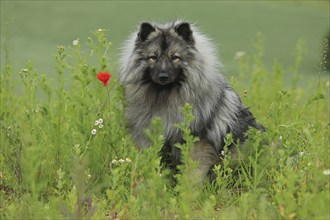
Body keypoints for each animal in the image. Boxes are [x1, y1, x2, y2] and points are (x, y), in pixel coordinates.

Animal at [118, 19, 266, 180]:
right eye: (153, 57)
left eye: (175, 57)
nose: (163, 76)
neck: (165, 97)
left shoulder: (196, 145)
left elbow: (192, 175)